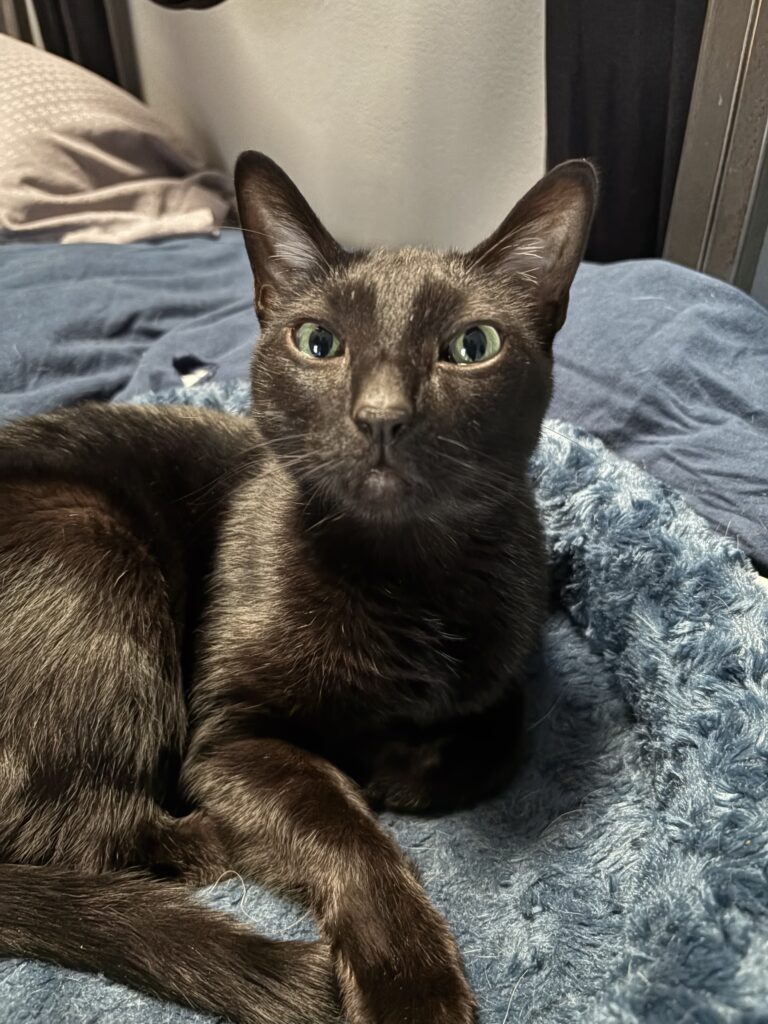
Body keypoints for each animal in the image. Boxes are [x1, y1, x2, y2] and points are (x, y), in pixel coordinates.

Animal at [0, 151, 598, 1024]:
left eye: (472, 345)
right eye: (318, 342)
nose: (382, 415)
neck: (404, 575)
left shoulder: (511, 651)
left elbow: (504, 733)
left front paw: (401, 764)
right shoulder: (226, 736)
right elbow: (344, 831)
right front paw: (411, 985)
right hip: (91, 539)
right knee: (76, 839)